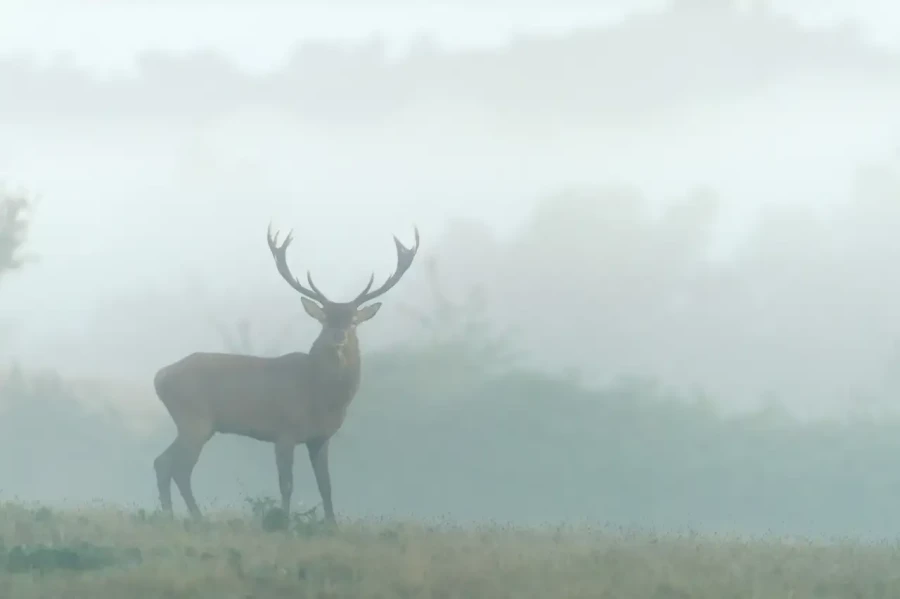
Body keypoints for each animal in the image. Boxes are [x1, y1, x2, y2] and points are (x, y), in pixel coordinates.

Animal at [152, 223, 420, 524]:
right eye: (325, 319)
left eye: (353, 321)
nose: (338, 336)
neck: (319, 396)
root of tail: (159, 377)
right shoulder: (284, 431)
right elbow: (287, 483)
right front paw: (285, 522)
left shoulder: (321, 438)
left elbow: (326, 484)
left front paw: (331, 524)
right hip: (194, 418)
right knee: (178, 467)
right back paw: (196, 518)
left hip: (196, 424)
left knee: (163, 462)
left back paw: (170, 515)